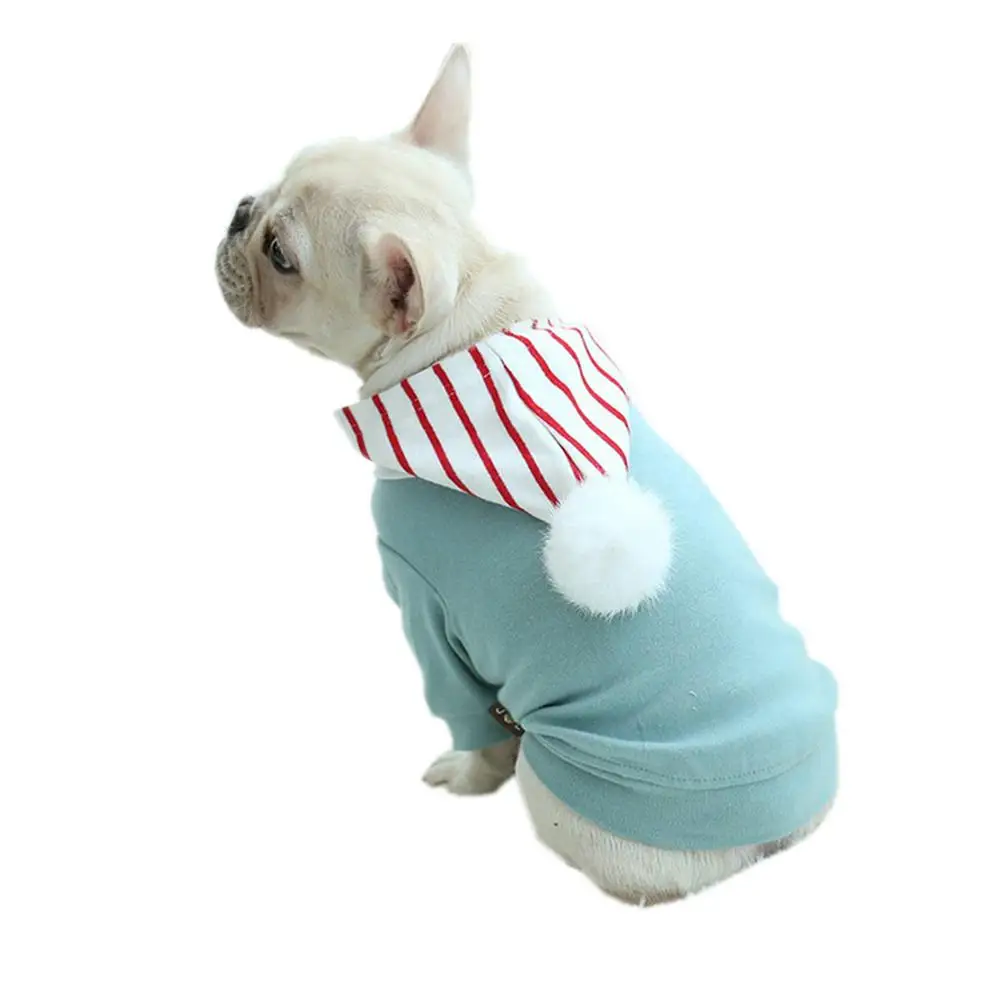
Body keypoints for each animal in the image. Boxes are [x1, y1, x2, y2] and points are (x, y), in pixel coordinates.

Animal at [215, 45, 837, 905]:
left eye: (281, 256)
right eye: (270, 188)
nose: (240, 209)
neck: (465, 326)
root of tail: (767, 844)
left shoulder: (425, 609)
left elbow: (466, 719)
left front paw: (468, 773)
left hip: (561, 784)